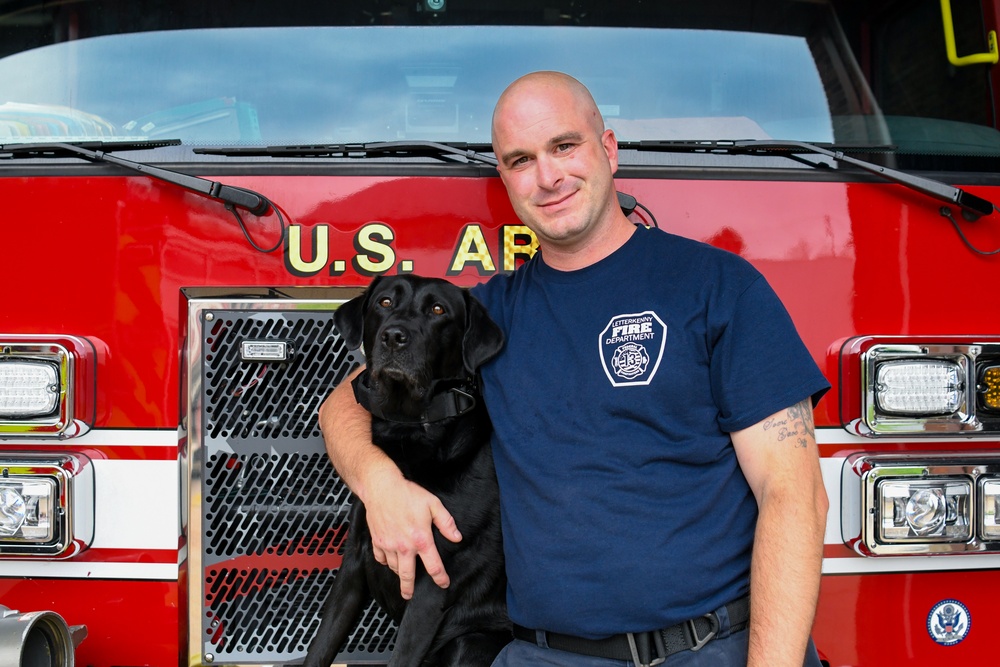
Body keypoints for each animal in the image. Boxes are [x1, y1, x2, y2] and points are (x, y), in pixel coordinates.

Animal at [302, 276, 508, 667]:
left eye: (438, 310)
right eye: (384, 302)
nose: (394, 336)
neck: (408, 426)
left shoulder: (434, 582)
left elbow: (401, 656)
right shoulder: (354, 563)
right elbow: (320, 646)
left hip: (470, 642)